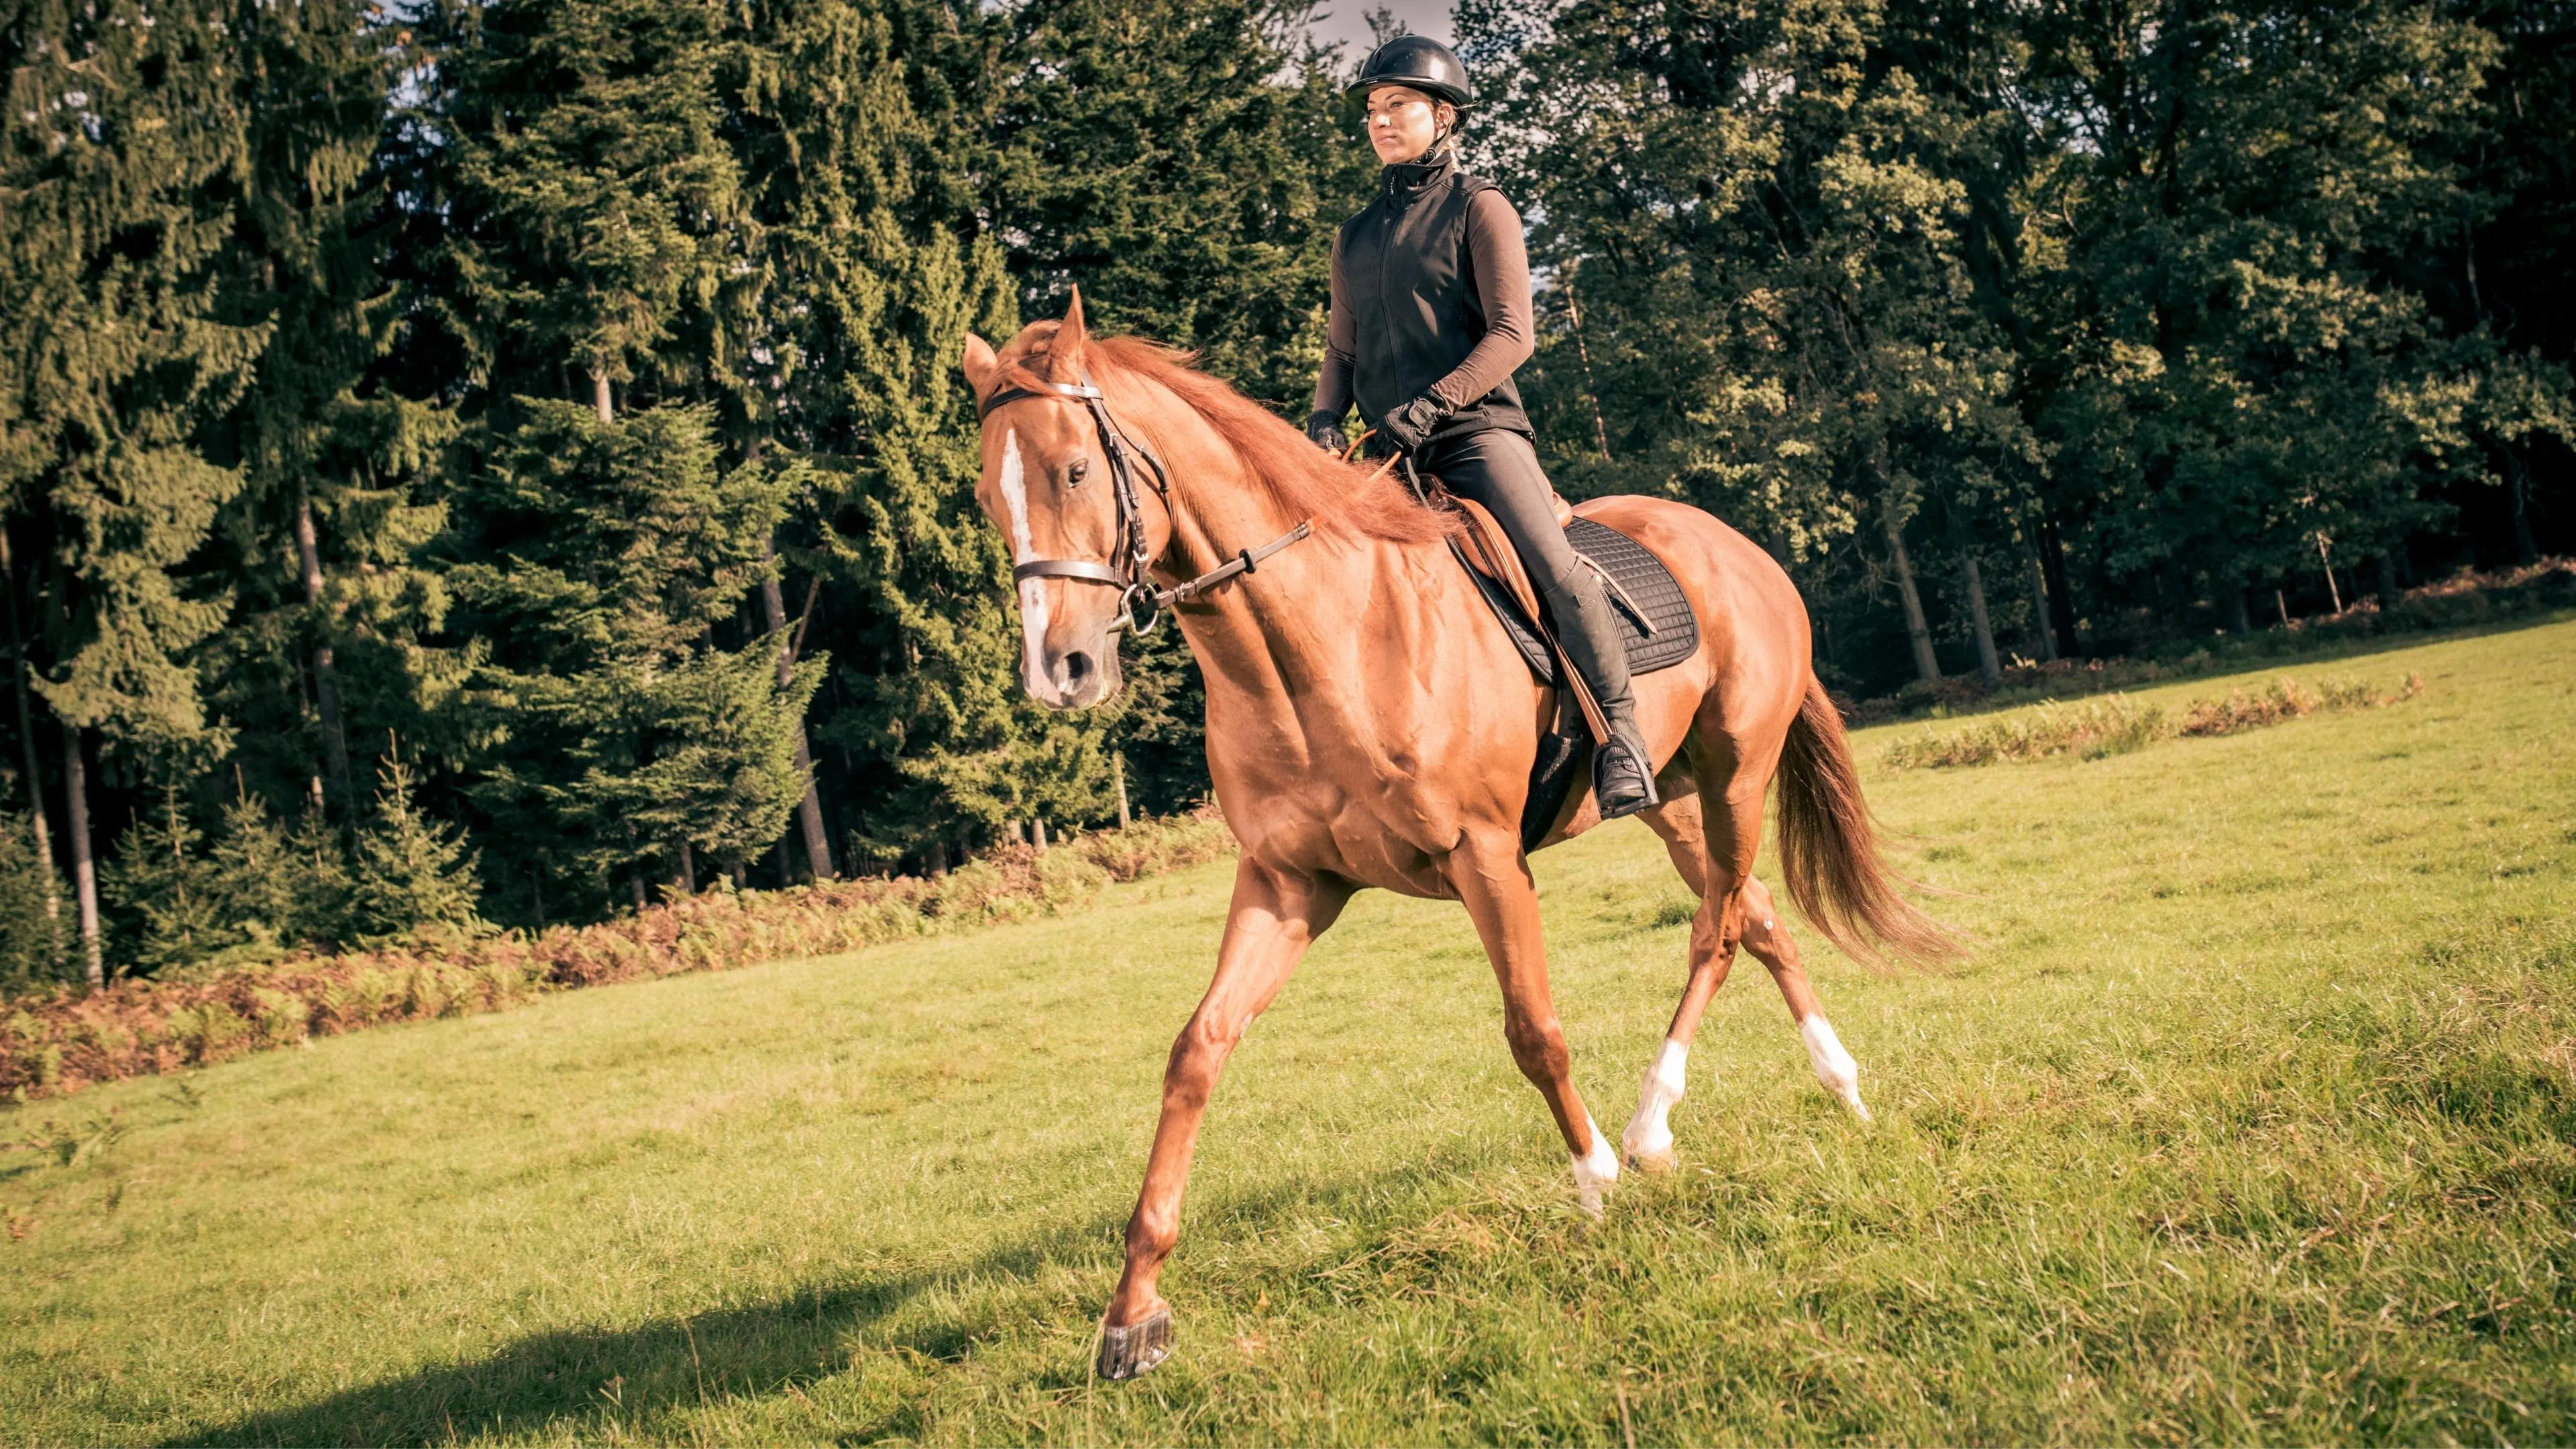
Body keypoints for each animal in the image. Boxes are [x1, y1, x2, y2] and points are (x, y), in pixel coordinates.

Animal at [968, 290, 1947, 1371]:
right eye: (985, 497)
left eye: (1074, 469)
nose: (1058, 672)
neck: (1318, 639)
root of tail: (1741, 549)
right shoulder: (1285, 883)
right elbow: (1198, 1050)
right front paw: (1133, 1314)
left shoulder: (1485, 858)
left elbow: (1535, 1033)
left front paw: (1594, 1185)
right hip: (1677, 798)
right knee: (1759, 914)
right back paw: (1840, 1086)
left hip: (1736, 777)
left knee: (1717, 929)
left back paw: (1651, 1126)